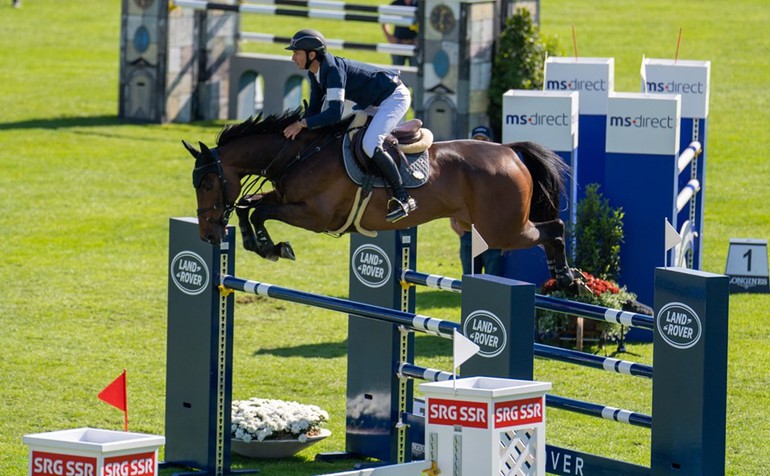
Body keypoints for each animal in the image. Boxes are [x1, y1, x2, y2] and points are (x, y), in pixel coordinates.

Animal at [184, 109, 584, 290]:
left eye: (207, 182)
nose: (207, 234)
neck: (299, 153)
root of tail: (510, 151)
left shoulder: (315, 216)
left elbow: (259, 210)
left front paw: (271, 246)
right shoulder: (285, 198)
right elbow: (250, 206)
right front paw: (262, 245)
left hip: (503, 229)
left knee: (553, 227)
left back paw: (567, 279)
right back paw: (565, 278)